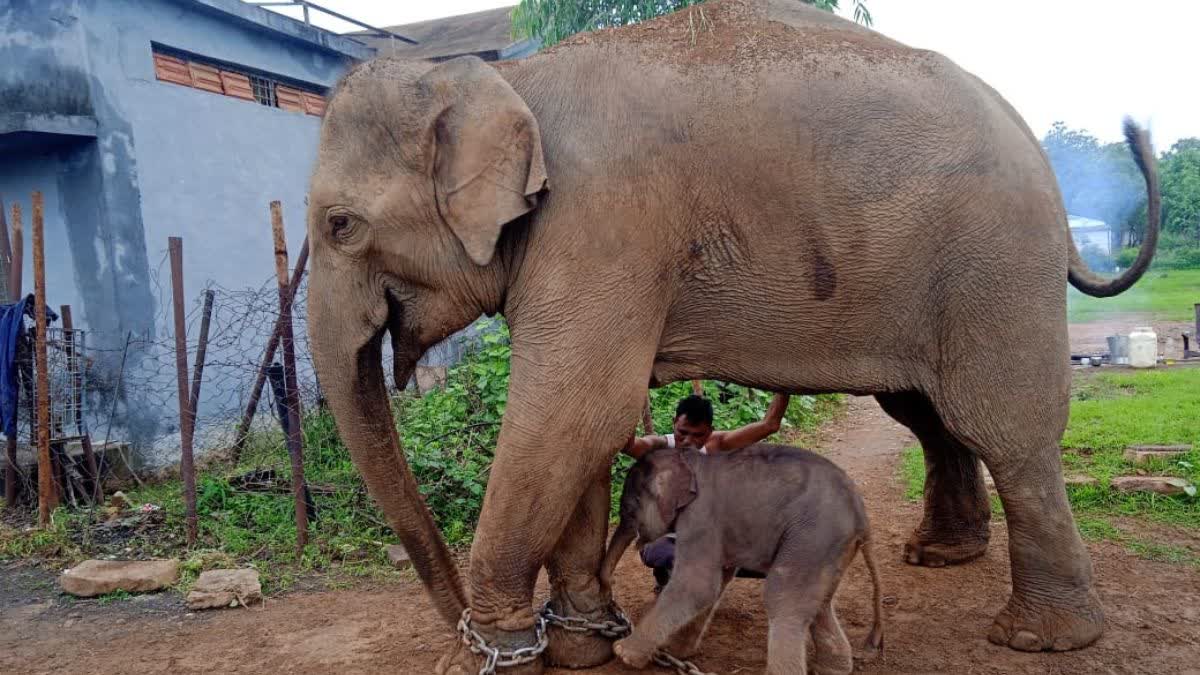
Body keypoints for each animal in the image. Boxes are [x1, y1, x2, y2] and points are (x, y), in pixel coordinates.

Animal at [600, 441, 883, 672]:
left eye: (632, 506)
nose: (608, 585)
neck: (689, 460)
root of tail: (862, 515)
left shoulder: (701, 517)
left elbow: (698, 585)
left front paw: (623, 653)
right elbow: (716, 583)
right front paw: (673, 653)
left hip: (813, 538)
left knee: (783, 599)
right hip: (831, 549)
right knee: (820, 605)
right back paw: (832, 670)